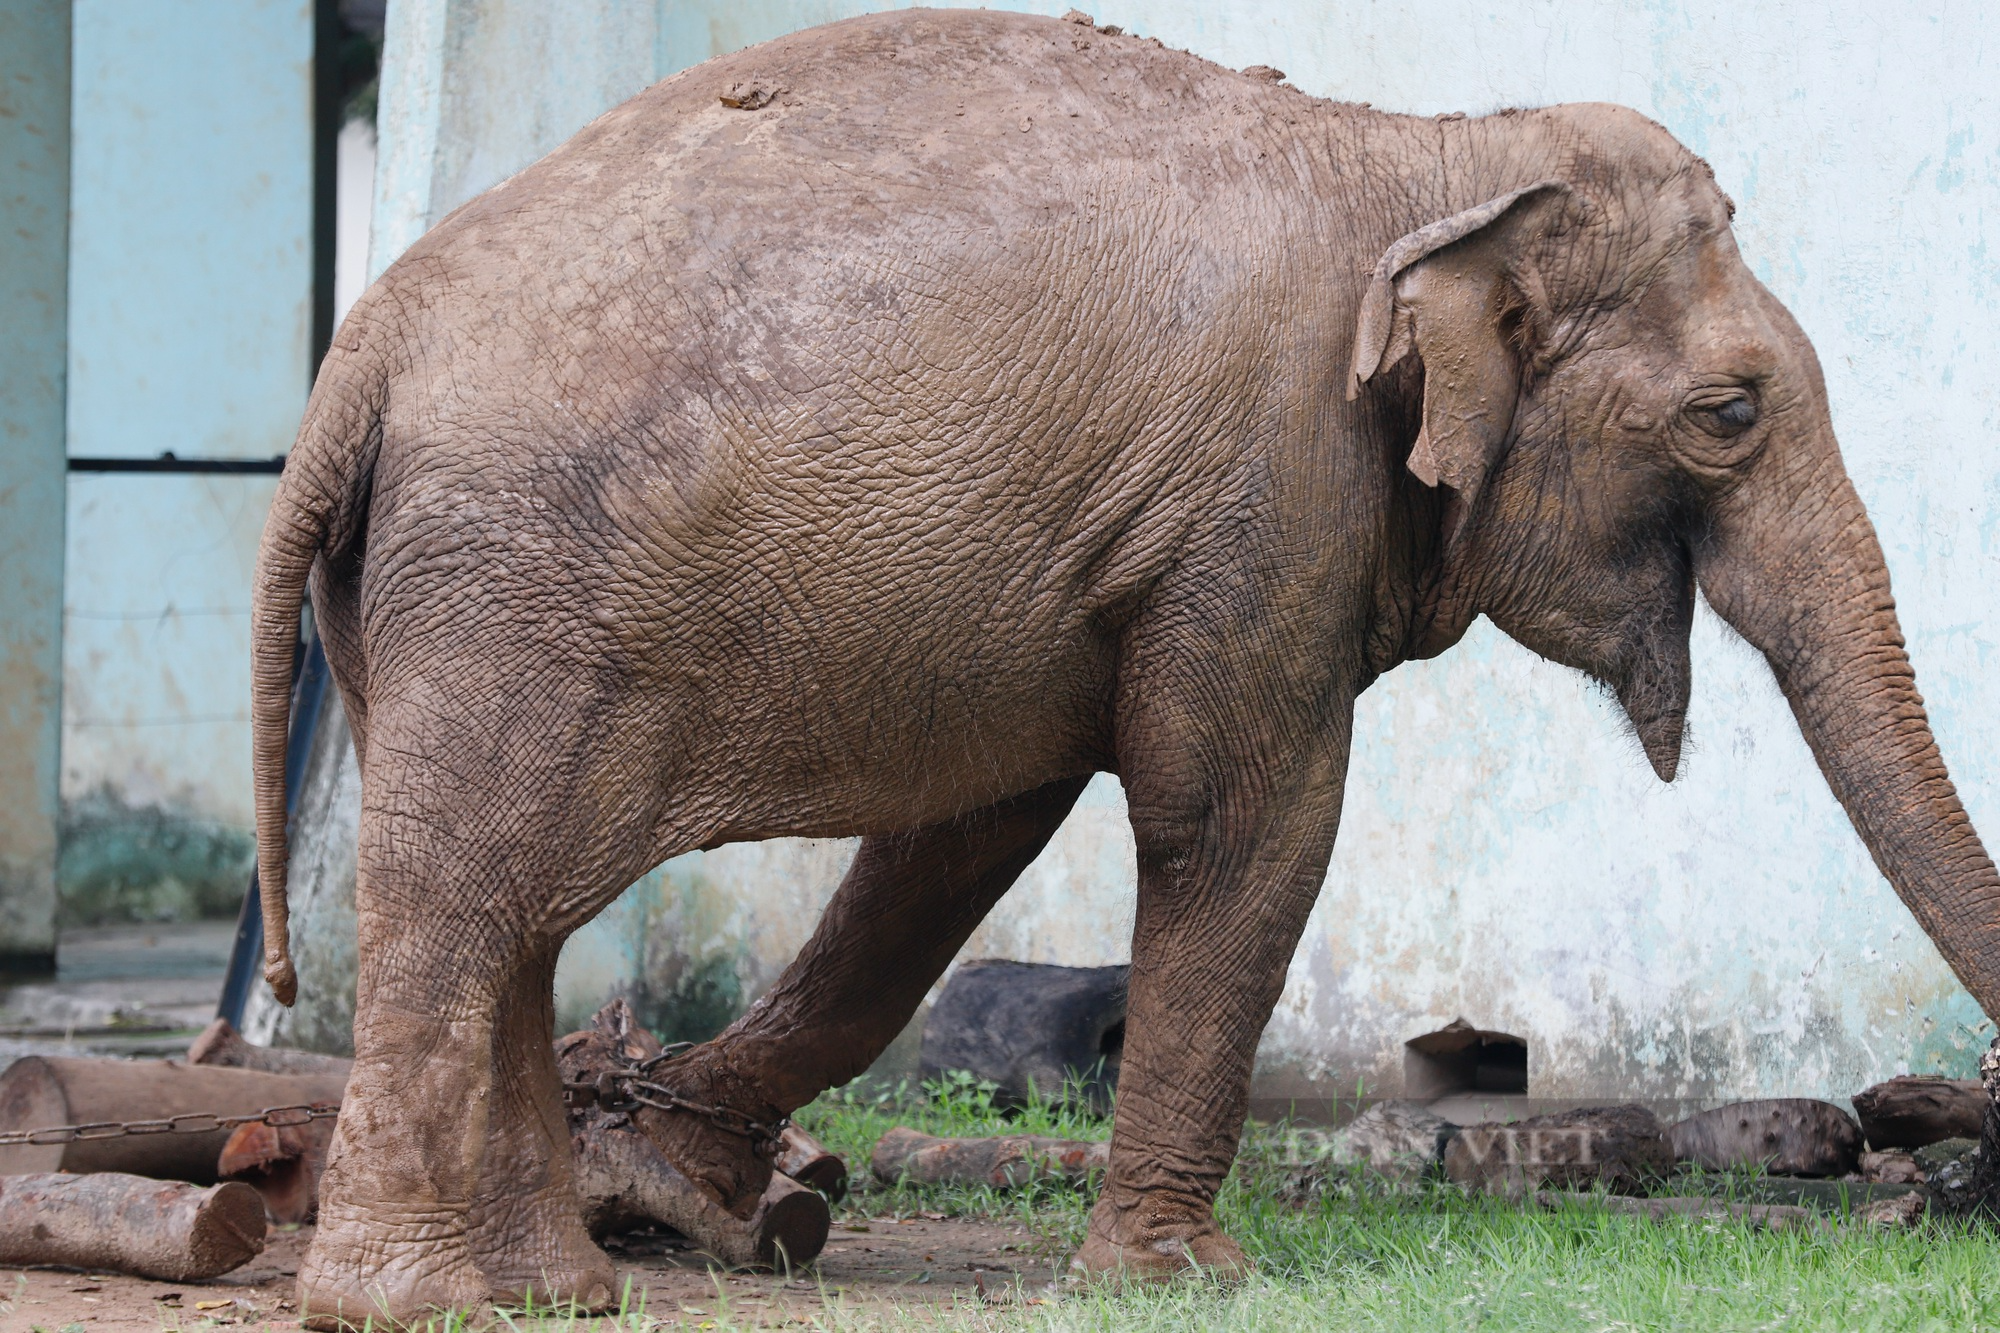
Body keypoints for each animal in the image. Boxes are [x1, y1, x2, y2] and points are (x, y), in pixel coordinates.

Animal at [250, 7, 2000, 1320]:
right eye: (1732, 413)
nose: (1957, 1170)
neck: (1428, 150)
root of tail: (358, 357)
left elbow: (965, 837)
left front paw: (689, 1160)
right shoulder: (1268, 490)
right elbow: (1246, 821)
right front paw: (1188, 1277)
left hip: (435, 605)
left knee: (515, 917)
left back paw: (553, 1289)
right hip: (504, 594)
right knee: (459, 898)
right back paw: (417, 1301)